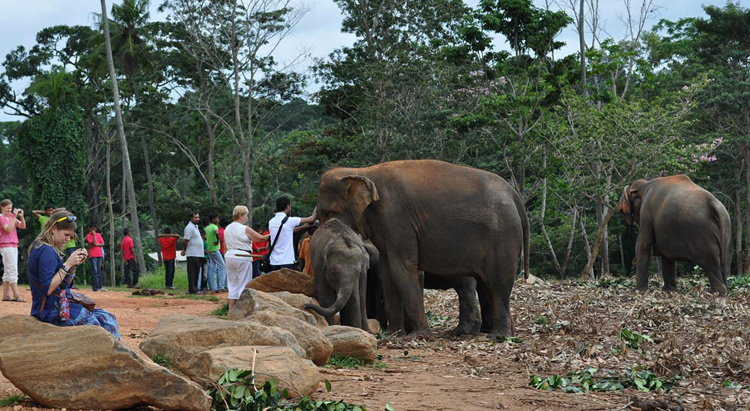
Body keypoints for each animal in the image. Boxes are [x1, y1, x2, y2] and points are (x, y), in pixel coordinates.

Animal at [318, 159, 536, 336]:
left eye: (329, 212)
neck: (363, 171)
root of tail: (515, 197)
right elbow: (388, 271)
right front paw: (395, 335)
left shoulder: (396, 217)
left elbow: (402, 267)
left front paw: (419, 335)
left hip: (503, 236)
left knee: (497, 283)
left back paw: (496, 336)